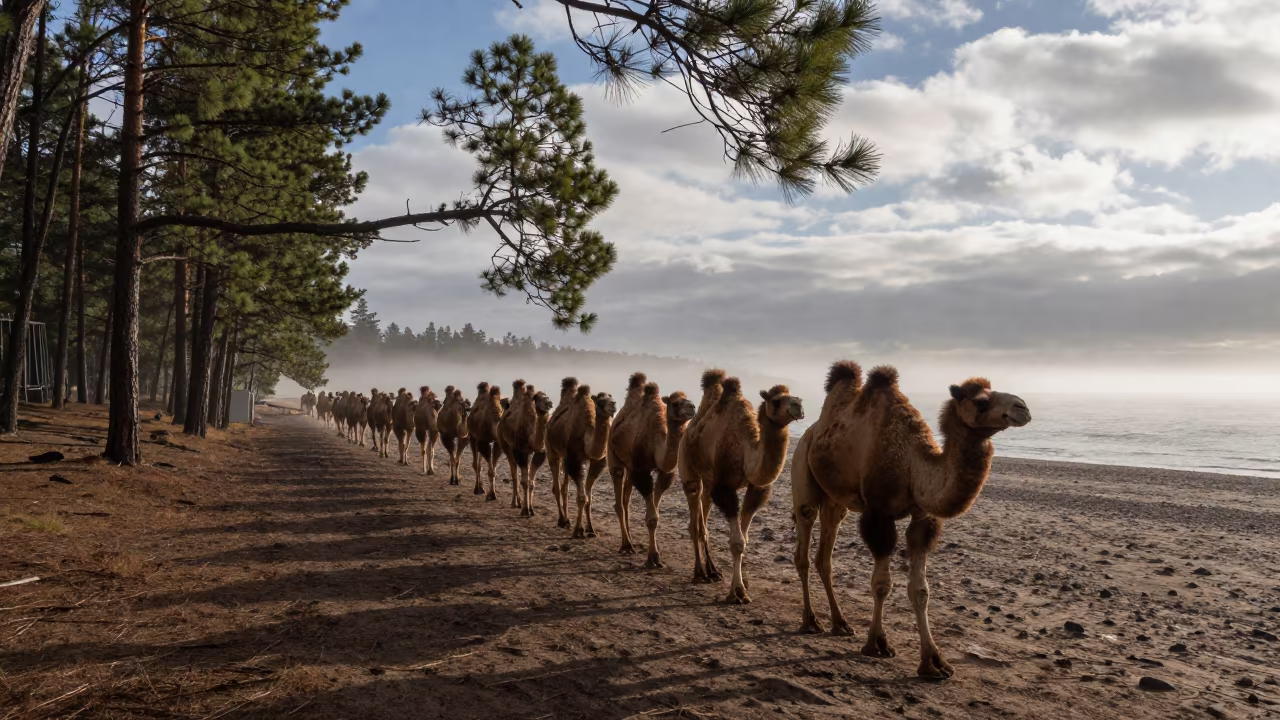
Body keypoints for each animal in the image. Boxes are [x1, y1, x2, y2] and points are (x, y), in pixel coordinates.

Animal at [497, 380, 554, 517]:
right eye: (537, 398)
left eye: (547, 396)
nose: (549, 403)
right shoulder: (520, 451)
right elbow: (524, 482)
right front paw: (524, 510)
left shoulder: (540, 452)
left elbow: (531, 483)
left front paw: (531, 510)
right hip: (505, 444)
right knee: (514, 472)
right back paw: (515, 503)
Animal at [545, 378, 616, 537]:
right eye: (600, 401)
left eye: (611, 397)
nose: (614, 404)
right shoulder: (576, 460)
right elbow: (582, 498)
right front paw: (579, 530)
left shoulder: (597, 462)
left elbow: (589, 498)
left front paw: (591, 529)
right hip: (552, 450)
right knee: (557, 486)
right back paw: (562, 520)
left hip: (565, 457)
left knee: (564, 487)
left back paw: (567, 520)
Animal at [606, 376, 697, 567]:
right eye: (676, 403)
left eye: (688, 399)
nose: (692, 406)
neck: (656, 443)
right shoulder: (641, 471)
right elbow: (652, 518)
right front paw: (652, 558)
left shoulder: (665, 473)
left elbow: (654, 513)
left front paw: (655, 554)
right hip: (613, 455)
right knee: (619, 497)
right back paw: (626, 545)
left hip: (630, 466)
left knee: (625, 500)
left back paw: (631, 540)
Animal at [680, 370, 804, 604]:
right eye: (776, 401)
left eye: (794, 396)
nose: (798, 405)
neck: (746, 450)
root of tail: (689, 429)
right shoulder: (724, 488)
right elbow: (737, 542)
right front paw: (737, 592)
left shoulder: (756, 488)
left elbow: (744, 539)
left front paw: (743, 582)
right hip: (689, 470)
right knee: (694, 519)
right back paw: (699, 573)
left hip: (708, 482)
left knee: (703, 519)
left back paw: (712, 571)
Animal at [790, 362, 1031, 679]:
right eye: (981, 401)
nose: (1023, 407)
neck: (912, 465)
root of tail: (810, 432)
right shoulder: (879, 513)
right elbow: (882, 584)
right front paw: (877, 644)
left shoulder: (922, 518)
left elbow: (921, 590)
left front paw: (934, 662)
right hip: (802, 473)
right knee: (804, 544)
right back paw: (810, 621)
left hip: (835, 499)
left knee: (824, 556)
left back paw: (840, 623)